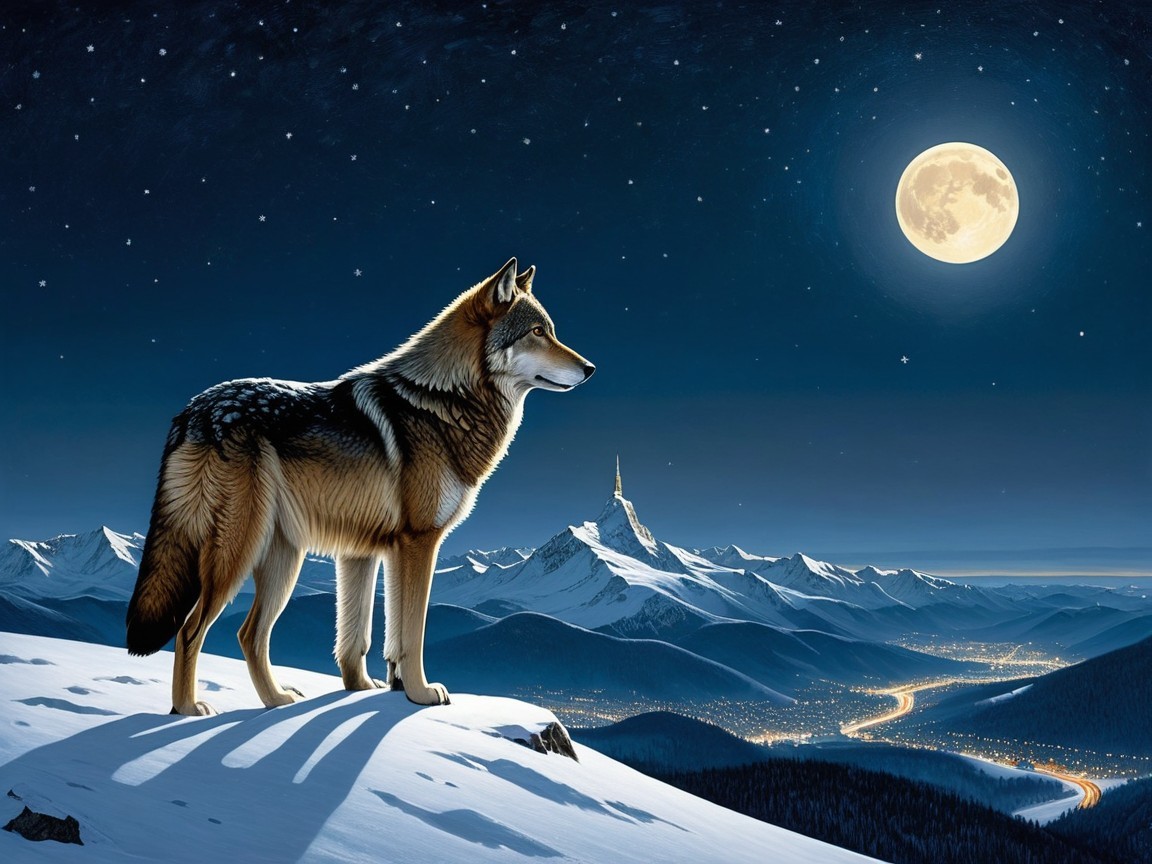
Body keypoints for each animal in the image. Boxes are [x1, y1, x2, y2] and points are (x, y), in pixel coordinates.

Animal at [126, 258, 594, 715]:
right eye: (538, 333)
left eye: (551, 331)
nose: (590, 369)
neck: (443, 400)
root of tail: (191, 412)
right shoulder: (418, 541)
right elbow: (412, 634)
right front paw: (420, 693)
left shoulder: (364, 551)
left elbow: (365, 638)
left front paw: (373, 688)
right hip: (239, 553)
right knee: (190, 630)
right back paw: (187, 709)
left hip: (283, 558)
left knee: (249, 633)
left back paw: (276, 701)